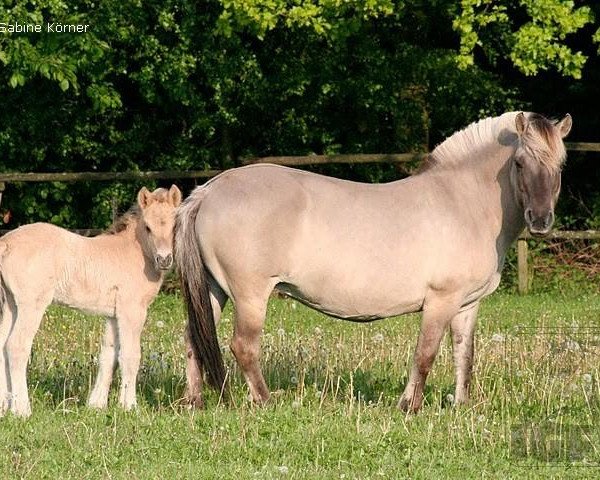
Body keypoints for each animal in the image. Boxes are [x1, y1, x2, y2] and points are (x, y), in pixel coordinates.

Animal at [0, 186, 183, 418]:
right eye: (148, 227)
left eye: (174, 225)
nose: (164, 259)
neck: (136, 252)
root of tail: (6, 242)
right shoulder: (132, 311)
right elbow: (130, 356)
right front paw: (130, 406)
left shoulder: (113, 315)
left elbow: (109, 355)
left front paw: (97, 404)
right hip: (31, 305)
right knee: (16, 346)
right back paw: (22, 410)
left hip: (11, 304)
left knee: (2, 346)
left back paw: (4, 407)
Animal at [175, 111, 572, 408]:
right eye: (519, 163)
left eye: (561, 165)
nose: (540, 221)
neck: (464, 202)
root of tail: (209, 190)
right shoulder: (441, 301)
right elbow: (425, 354)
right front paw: (409, 406)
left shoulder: (466, 305)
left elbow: (464, 356)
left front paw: (461, 406)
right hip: (250, 295)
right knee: (243, 346)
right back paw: (264, 401)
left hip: (213, 289)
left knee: (194, 338)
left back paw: (194, 402)